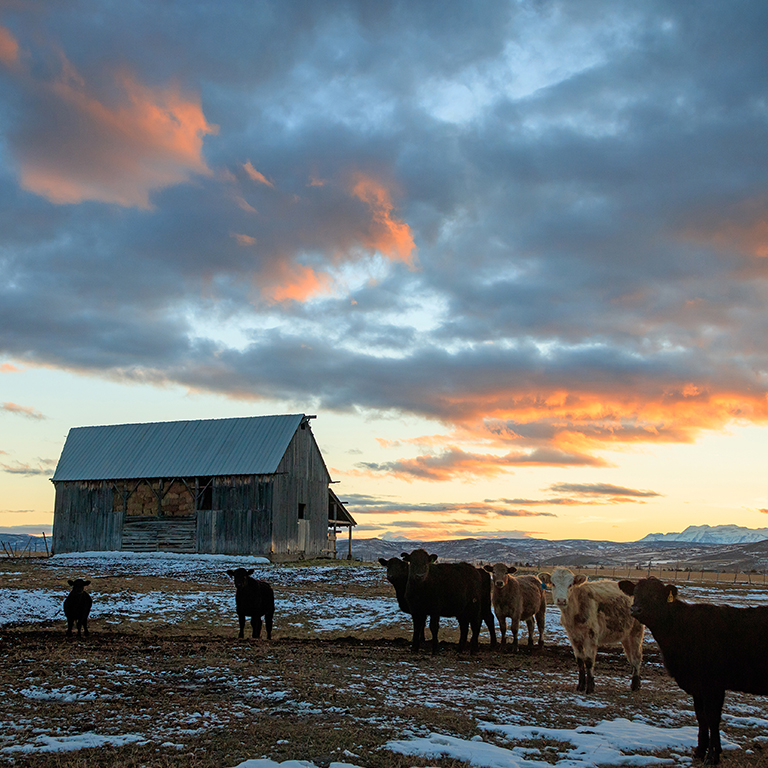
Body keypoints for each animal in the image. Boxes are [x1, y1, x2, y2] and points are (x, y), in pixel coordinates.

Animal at [619, 577, 768, 765]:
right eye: (635, 593)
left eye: (655, 595)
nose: (635, 609)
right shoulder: (697, 686)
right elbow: (701, 716)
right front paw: (700, 751)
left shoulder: (713, 684)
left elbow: (712, 718)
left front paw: (712, 756)